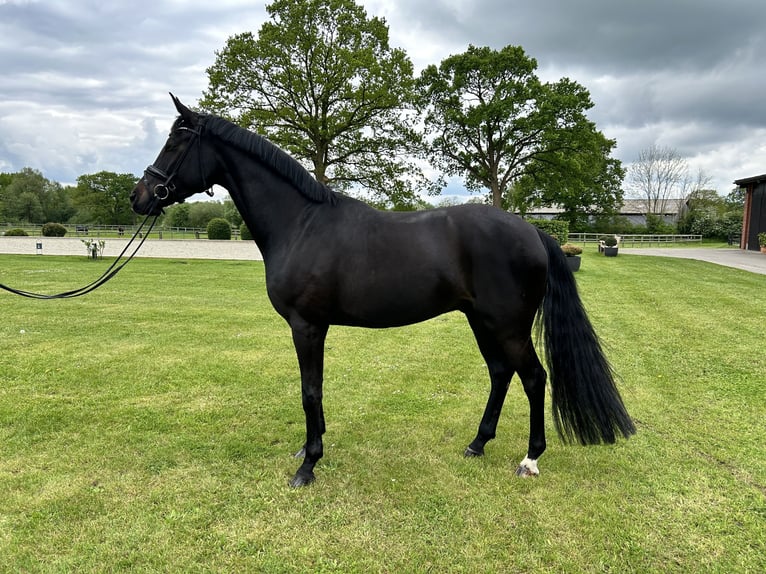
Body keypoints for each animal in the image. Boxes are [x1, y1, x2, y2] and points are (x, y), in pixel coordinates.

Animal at [132, 95, 636, 490]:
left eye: (175, 142)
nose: (140, 197)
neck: (301, 224)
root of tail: (533, 230)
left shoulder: (306, 326)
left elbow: (309, 390)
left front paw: (308, 466)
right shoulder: (314, 327)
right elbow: (314, 389)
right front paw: (309, 449)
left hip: (507, 324)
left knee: (532, 378)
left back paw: (529, 459)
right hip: (481, 320)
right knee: (500, 374)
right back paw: (477, 444)